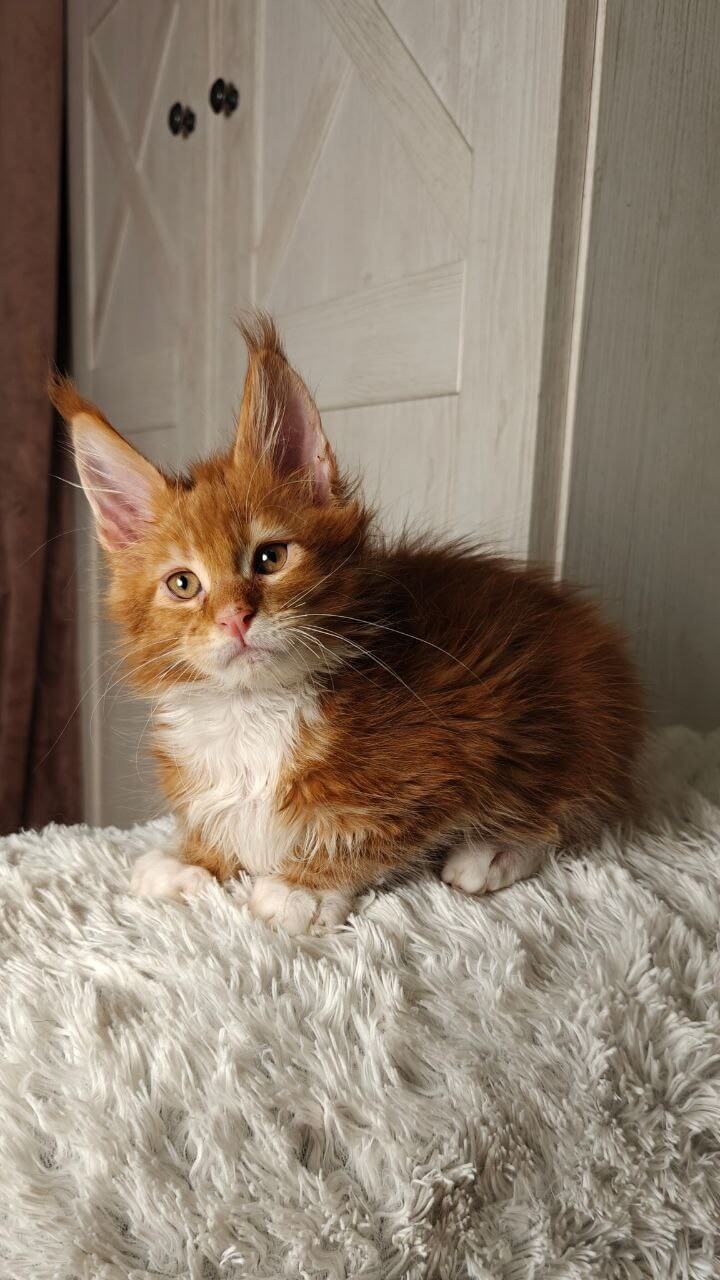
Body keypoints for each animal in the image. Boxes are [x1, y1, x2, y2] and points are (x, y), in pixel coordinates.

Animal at [50, 315, 645, 934]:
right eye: (183, 584)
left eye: (270, 557)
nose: (235, 618)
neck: (253, 710)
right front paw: (190, 858)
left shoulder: (457, 739)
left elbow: (373, 828)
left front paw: (302, 886)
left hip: (567, 717)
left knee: (578, 807)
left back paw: (494, 851)